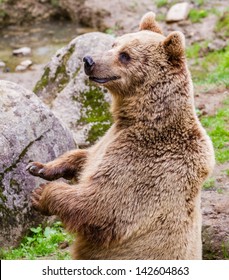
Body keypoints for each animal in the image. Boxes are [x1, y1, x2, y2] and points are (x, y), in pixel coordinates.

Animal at [26, 12, 215, 260]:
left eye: (125, 55)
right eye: (114, 44)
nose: (88, 61)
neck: (140, 117)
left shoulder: (144, 163)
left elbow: (102, 205)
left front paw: (40, 195)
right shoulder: (110, 138)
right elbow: (85, 156)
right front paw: (39, 167)